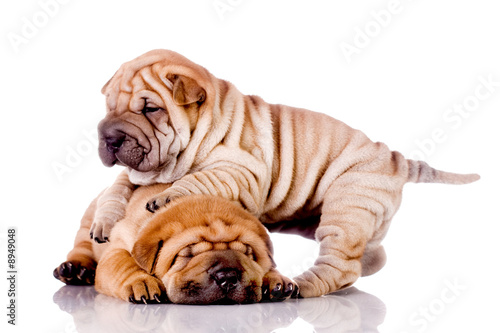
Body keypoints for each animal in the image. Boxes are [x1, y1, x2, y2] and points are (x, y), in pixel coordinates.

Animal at [54, 184, 296, 304]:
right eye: (186, 255)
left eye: (247, 253)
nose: (227, 277)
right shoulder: (117, 248)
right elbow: (123, 263)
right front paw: (141, 282)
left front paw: (276, 279)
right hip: (87, 227)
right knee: (81, 248)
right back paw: (74, 270)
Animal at [89, 48, 476, 296]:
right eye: (108, 107)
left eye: (150, 109)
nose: (108, 136)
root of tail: (396, 158)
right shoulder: (138, 174)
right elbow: (117, 188)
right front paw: (104, 223)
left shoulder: (241, 171)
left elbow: (200, 178)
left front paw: (170, 196)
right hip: (365, 217)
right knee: (372, 256)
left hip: (348, 206)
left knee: (341, 265)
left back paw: (298, 285)